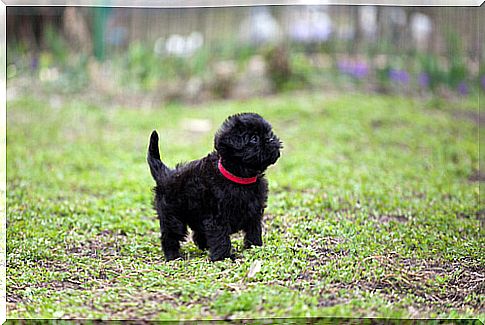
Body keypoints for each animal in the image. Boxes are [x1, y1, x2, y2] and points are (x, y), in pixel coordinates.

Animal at [148, 112, 284, 260]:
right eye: (254, 138)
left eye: (269, 133)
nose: (270, 139)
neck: (240, 177)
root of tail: (166, 174)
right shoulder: (217, 218)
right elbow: (220, 238)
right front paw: (222, 257)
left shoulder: (254, 211)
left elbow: (254, 230)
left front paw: (255, 247)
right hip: (172, 217)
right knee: (170, 235)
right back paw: (173, 255)